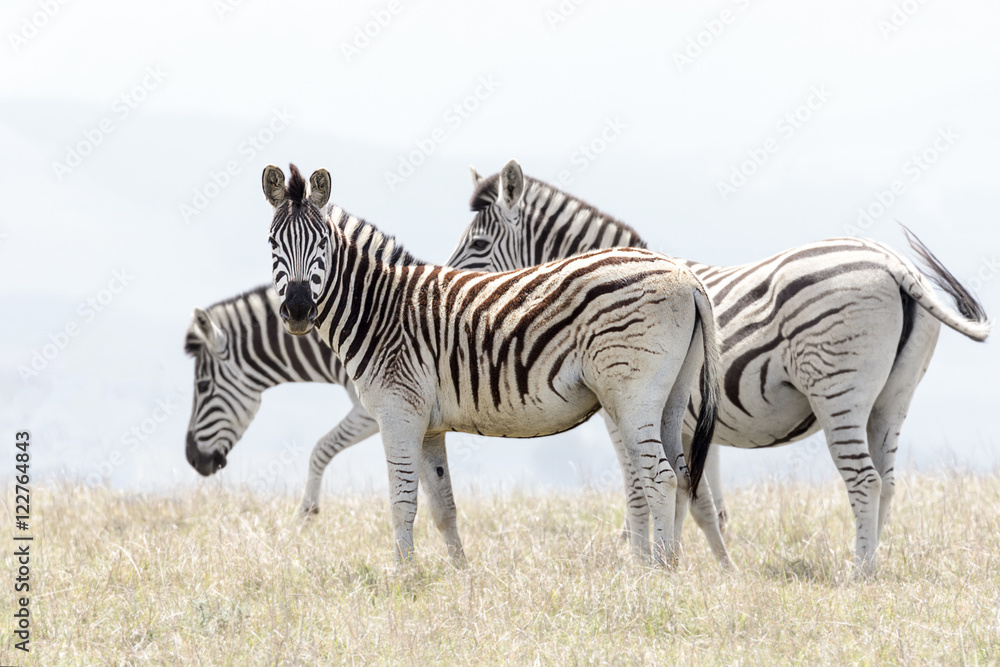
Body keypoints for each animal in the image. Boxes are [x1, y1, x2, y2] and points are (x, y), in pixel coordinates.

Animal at [261, 163, 728, 566]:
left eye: (322, 244)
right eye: (272, 244)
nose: (298, 310)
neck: (381, 310)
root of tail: (687, 278)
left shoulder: (397, 414)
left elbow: (401, 504)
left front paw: (404, 578)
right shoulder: (428, 426)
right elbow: (443, 507)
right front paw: (460, 577)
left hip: (632, 396)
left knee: (659, 477)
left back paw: (660, 574)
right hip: (671, 396)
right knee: (683, 476)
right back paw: (674, 568)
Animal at [446, 159, 990, 576]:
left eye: (478, 246)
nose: (455, 291)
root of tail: (895, 265)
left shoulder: (625, 411)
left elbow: (647, 491)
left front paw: (646, 565)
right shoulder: (689, 423)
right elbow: (702, 501)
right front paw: (709, 567)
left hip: (838, 389)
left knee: (865, 480)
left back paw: (858, 572)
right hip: (894, 398)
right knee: (889, 482)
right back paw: (873, 560)